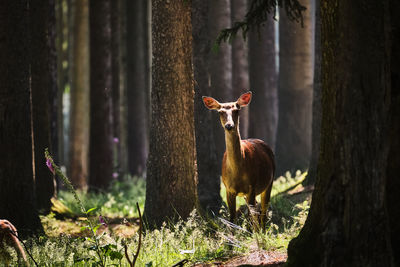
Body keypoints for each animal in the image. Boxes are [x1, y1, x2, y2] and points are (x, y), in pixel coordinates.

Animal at [203, 92, 276, 230]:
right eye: (220, 112)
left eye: (236, 110)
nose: (229, 125)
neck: (238, 171)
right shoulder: (228, 189)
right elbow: (232, 219)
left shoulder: (252, 185)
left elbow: (251, 217)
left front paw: (254, 235)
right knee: (257, 210)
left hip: (269, 181)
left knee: (262, 211)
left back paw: (262, 231)